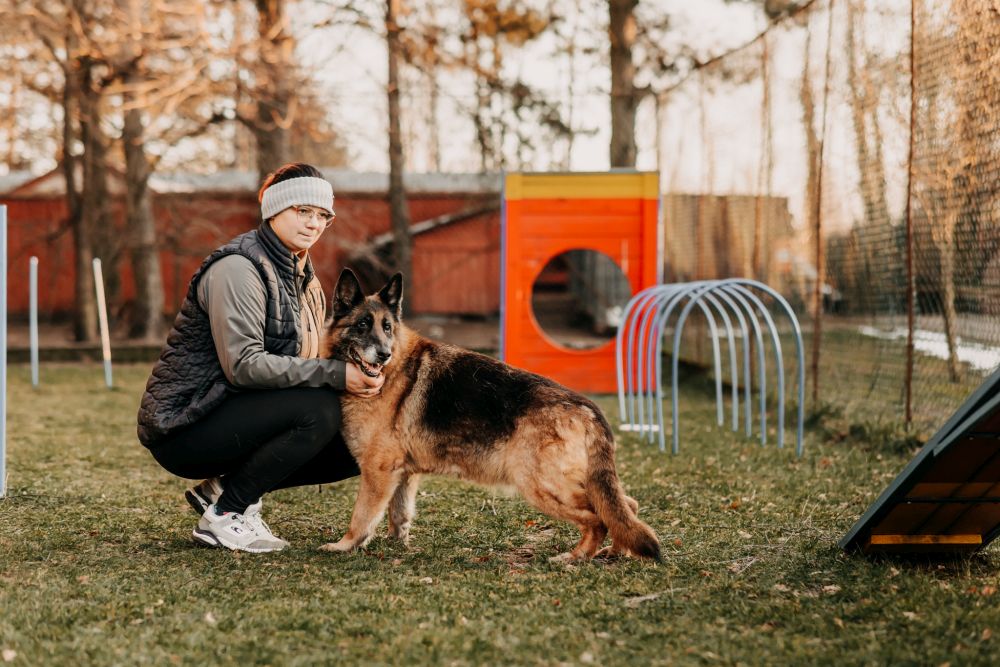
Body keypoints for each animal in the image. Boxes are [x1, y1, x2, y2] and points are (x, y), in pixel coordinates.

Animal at [319, 269, 660, 562]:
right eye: (362, 325)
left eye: (387, 327)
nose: (384, 354)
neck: (393, 370)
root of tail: (589, 409)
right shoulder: (402, 473)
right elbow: (398, 513)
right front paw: (395, 543)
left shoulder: (377, 472)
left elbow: (362, 515)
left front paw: (346, 544)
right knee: (624, 508)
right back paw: (615, 551)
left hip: (541, 485)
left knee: (598, 519)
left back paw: (575, 557)